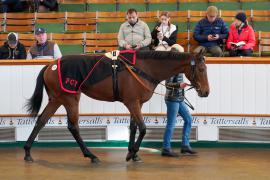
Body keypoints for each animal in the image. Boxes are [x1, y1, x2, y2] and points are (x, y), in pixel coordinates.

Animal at [23, 50, 209, 164]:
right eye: (201, 69)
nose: (206, 92)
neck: (143, 67)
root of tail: (51, 65)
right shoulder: (132, 102)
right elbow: (142, 128)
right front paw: (132, 153)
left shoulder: (136, 103)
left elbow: (134, 127)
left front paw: (132, 153)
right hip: (70, 98)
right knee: (73, 126)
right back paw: (91, 155)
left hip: (56, 99)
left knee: (41, 121)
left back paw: (27, 152)